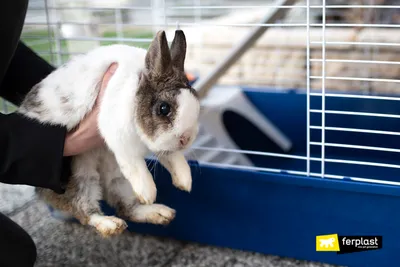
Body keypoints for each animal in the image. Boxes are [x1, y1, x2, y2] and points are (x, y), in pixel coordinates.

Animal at [17, 30, 202, 238]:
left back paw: (160, 213)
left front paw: (185, 181)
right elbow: (136, 165)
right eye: (164, 108)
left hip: (117, 179)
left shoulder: (162, 146)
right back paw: (110, 224)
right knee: (84, 210)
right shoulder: (120, 138)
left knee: (126, 209)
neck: (137, 89)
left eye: (197, 103)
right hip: (80, 176)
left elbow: (173, 158)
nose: (185, 139)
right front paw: (148, 193)